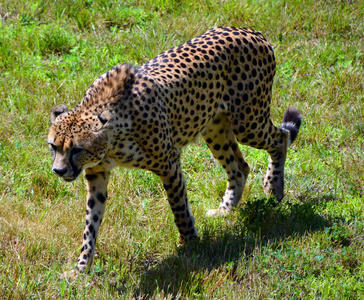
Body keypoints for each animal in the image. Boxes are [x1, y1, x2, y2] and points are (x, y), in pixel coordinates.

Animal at [47, 27, 300, 274]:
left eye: (77, 149)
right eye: (53, 146)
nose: (58, 171)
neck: (111, 142)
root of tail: (250, 31)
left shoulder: (169, 164)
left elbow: (178, 207)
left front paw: (190, 244)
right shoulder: (96, 174)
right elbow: (91, 222)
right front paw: (82, 266)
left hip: (247, 122)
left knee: (280, 138)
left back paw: (274, 188)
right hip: (214, 127)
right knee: (240, 167)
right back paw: (225, 210)